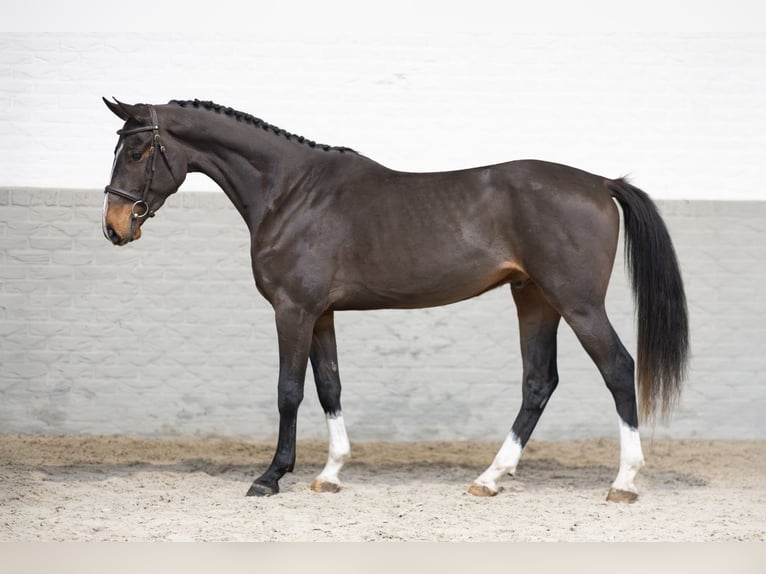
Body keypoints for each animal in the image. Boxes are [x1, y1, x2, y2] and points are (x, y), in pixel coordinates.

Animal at [102, 99, 688, 504]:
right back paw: (489, 479)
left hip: (577, 302)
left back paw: (624, 483)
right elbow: (330, 386)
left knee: (619, 369)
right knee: (538, 383)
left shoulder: (293, 310)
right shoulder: (321, 314)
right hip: (535, 300)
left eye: (136, 150)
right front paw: (330, 473)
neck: (291, 193)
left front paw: (270, 477)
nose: (114, 227)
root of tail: (600, 183)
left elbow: (289, 391)